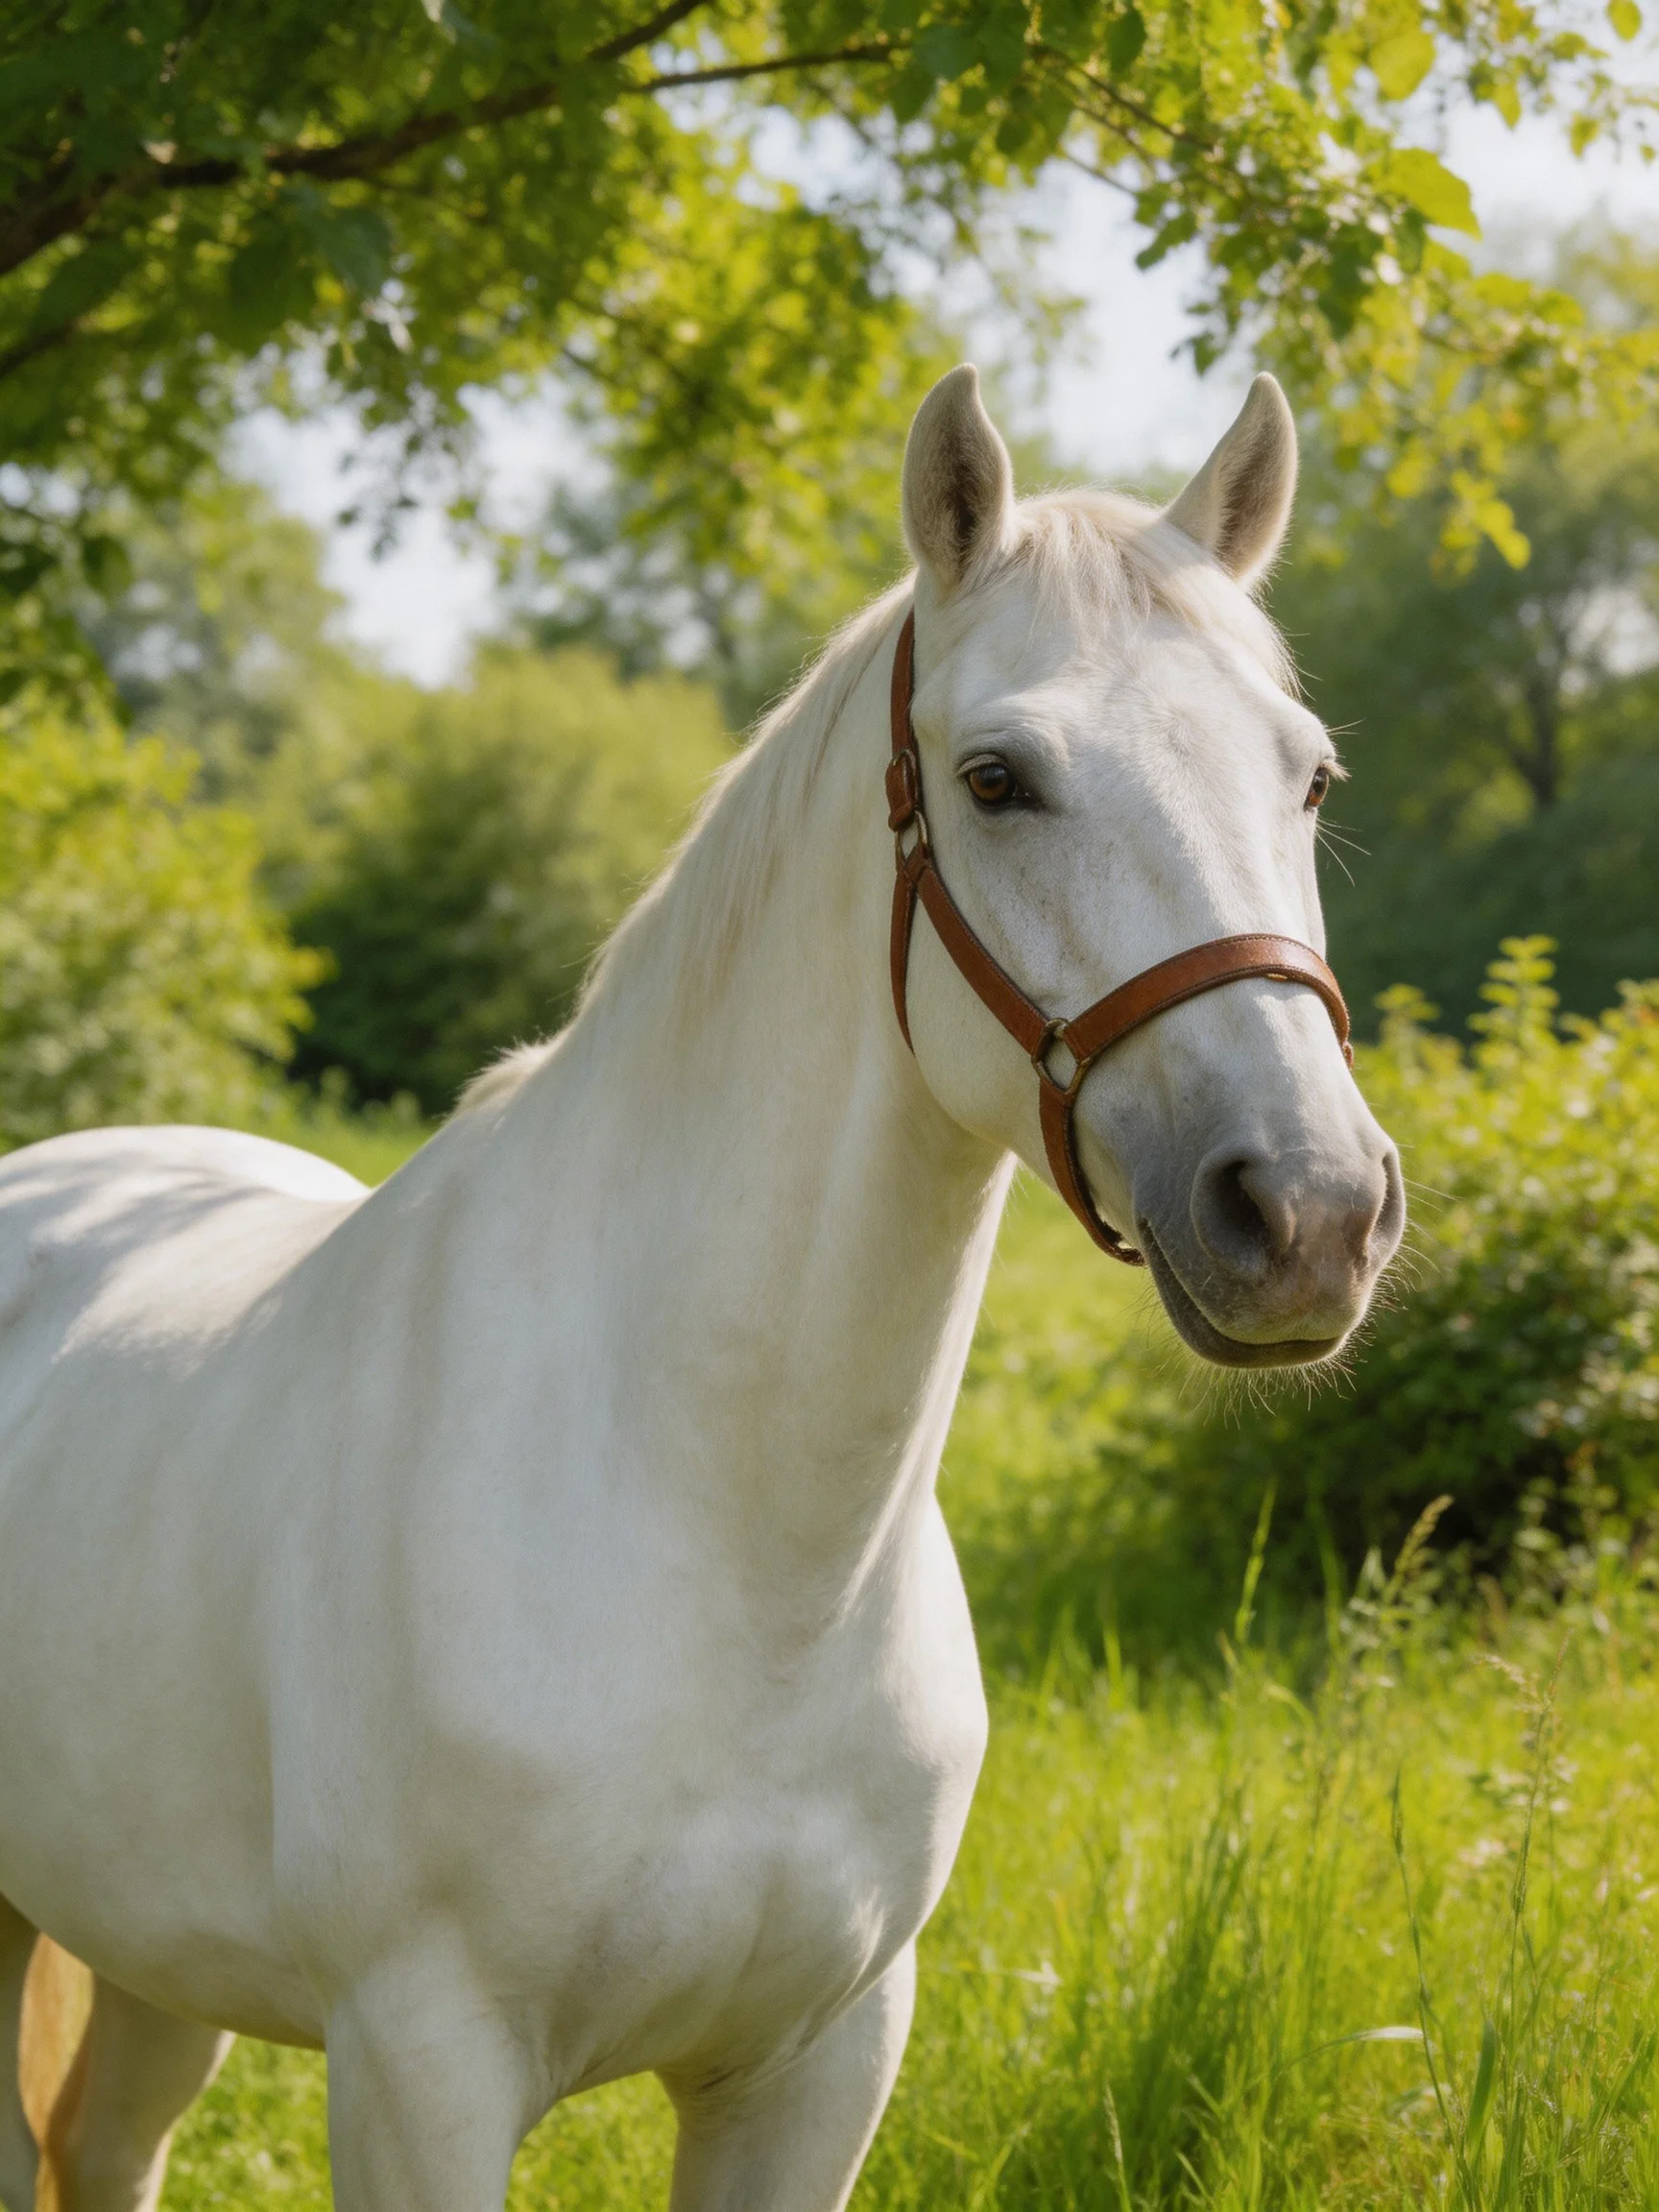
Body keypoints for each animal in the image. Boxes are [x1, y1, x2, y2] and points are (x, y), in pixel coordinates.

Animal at [0, 364, 1403, 2212]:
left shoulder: (811, 2067)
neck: (727, 1546)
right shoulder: (420, 2070)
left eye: (1306, 778)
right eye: (996, 777)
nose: (1307, 1208)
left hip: (154, 1951)